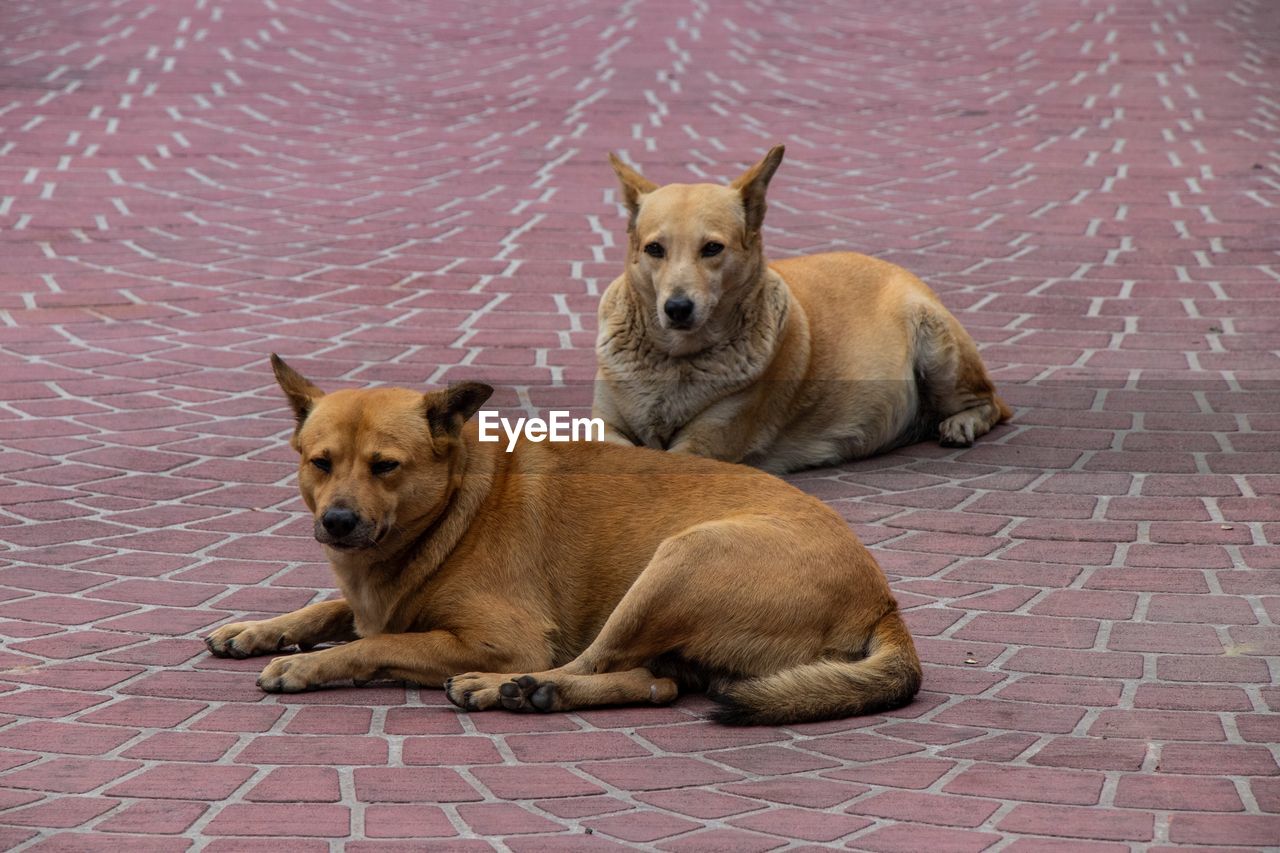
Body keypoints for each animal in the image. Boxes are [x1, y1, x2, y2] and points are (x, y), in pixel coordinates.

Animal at [202, 356, 921, 722]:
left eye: (385, 466)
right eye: (320, 462)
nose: (338, 522)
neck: (456, 508)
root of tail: (883, 600)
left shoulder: (504, 637)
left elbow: (376, 642)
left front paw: (306, 664)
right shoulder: (366, 594)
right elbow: (331, 608)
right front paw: (258, 629)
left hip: (675, 563)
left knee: (593, 663)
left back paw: (510, 689)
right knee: (654, 683)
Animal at [591, 143, 1008, 471]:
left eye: (711, 248)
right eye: (654, 249)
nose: (677, 307)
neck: (673, 361)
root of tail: (897, 268)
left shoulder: (703, 443)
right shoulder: (606, 426)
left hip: (938, 349)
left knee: (993, 403)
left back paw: (961, 423)